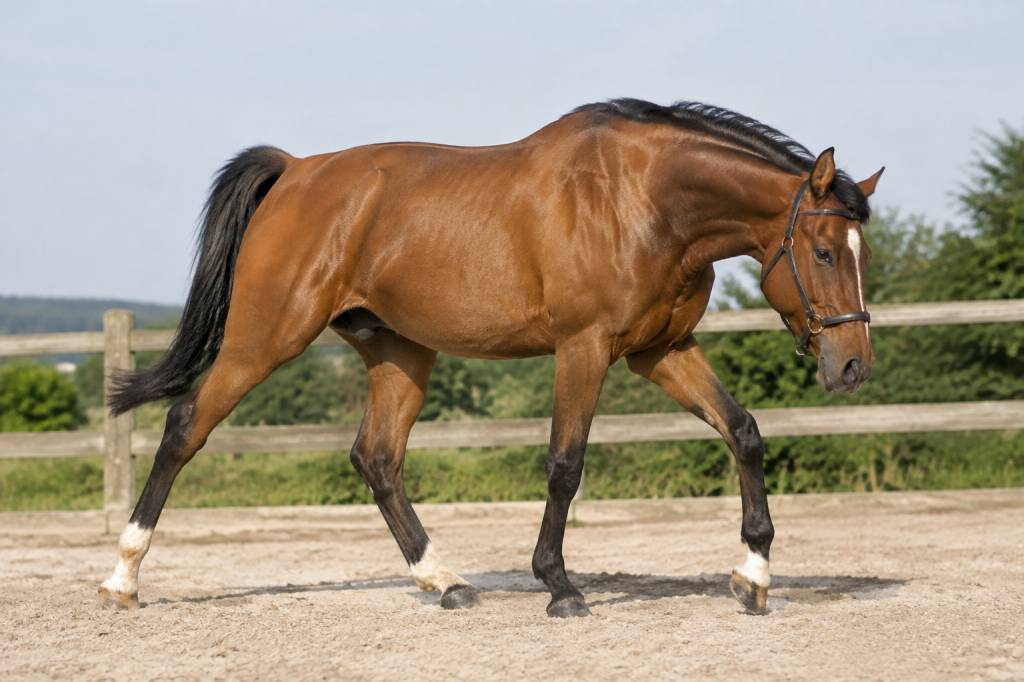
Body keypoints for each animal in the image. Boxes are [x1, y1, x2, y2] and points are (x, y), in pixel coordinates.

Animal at [99, 98, 883, 617]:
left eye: (861, 253)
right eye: (822, 252)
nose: (851, 366)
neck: (645, 202)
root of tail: (294, 173)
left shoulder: (659, 350)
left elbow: (743, 432)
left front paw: (753, 575)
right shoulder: (584, 348)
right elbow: (565, 464)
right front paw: (560, 587)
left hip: (400, 353)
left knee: (376, 458)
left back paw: (444, 581)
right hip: (264, 339)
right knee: (184, 427)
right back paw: (123, 578)